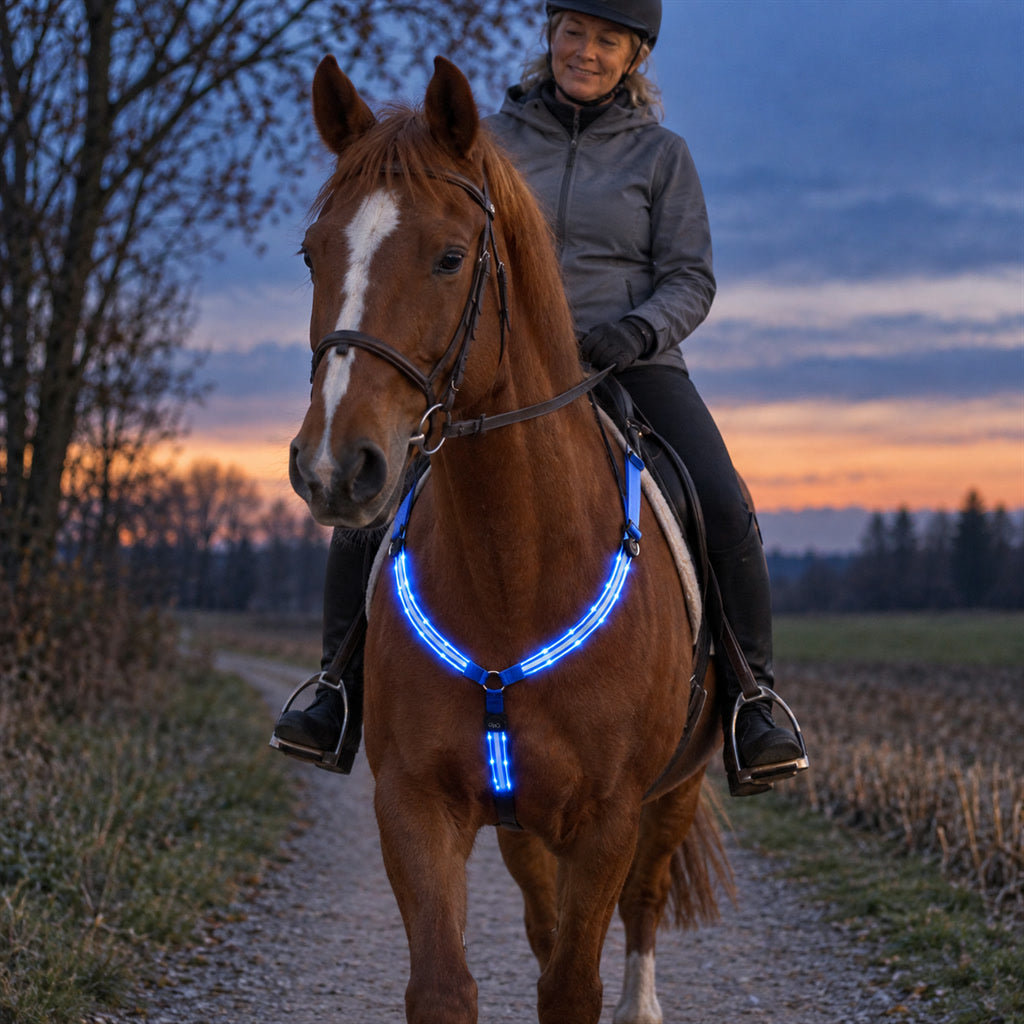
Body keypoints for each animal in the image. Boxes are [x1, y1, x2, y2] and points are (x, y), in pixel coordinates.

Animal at [288, 53, 733, 1024]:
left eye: (452, 257)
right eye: (313, 252)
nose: (334, 468)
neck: (514, 571)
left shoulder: (607, 820)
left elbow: (574, 984)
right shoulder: (416, 804)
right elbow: (446, 985)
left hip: (674, 791)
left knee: (644, 906)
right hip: (525, 822)